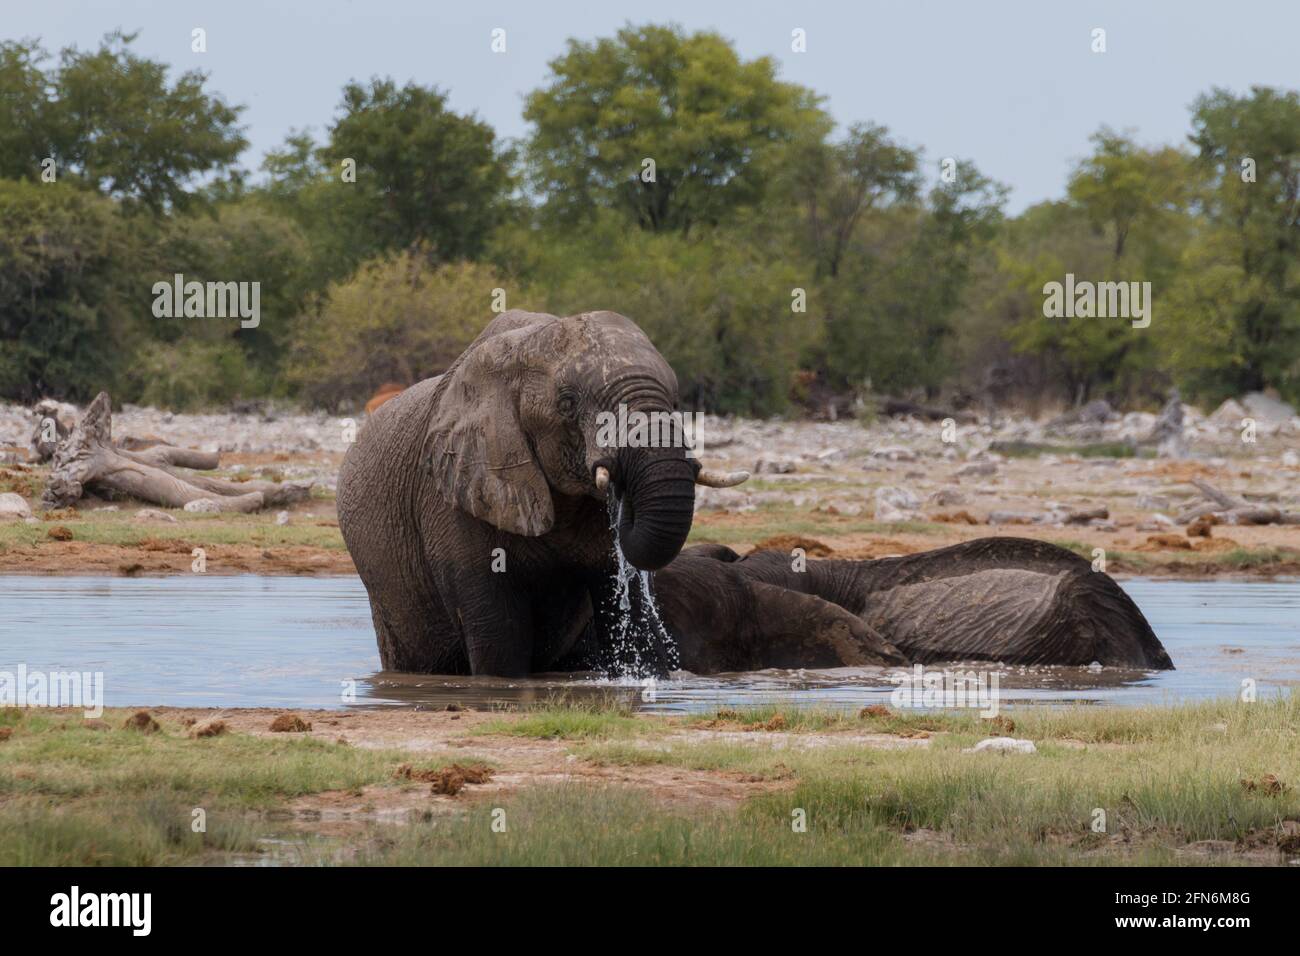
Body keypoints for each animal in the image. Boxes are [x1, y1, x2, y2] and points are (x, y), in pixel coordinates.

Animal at [335, 310, 748, 676]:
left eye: (677, 403)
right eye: (567, 403)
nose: (620, 484)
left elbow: (627, 613)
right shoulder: (450, 492)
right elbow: (499, 641)